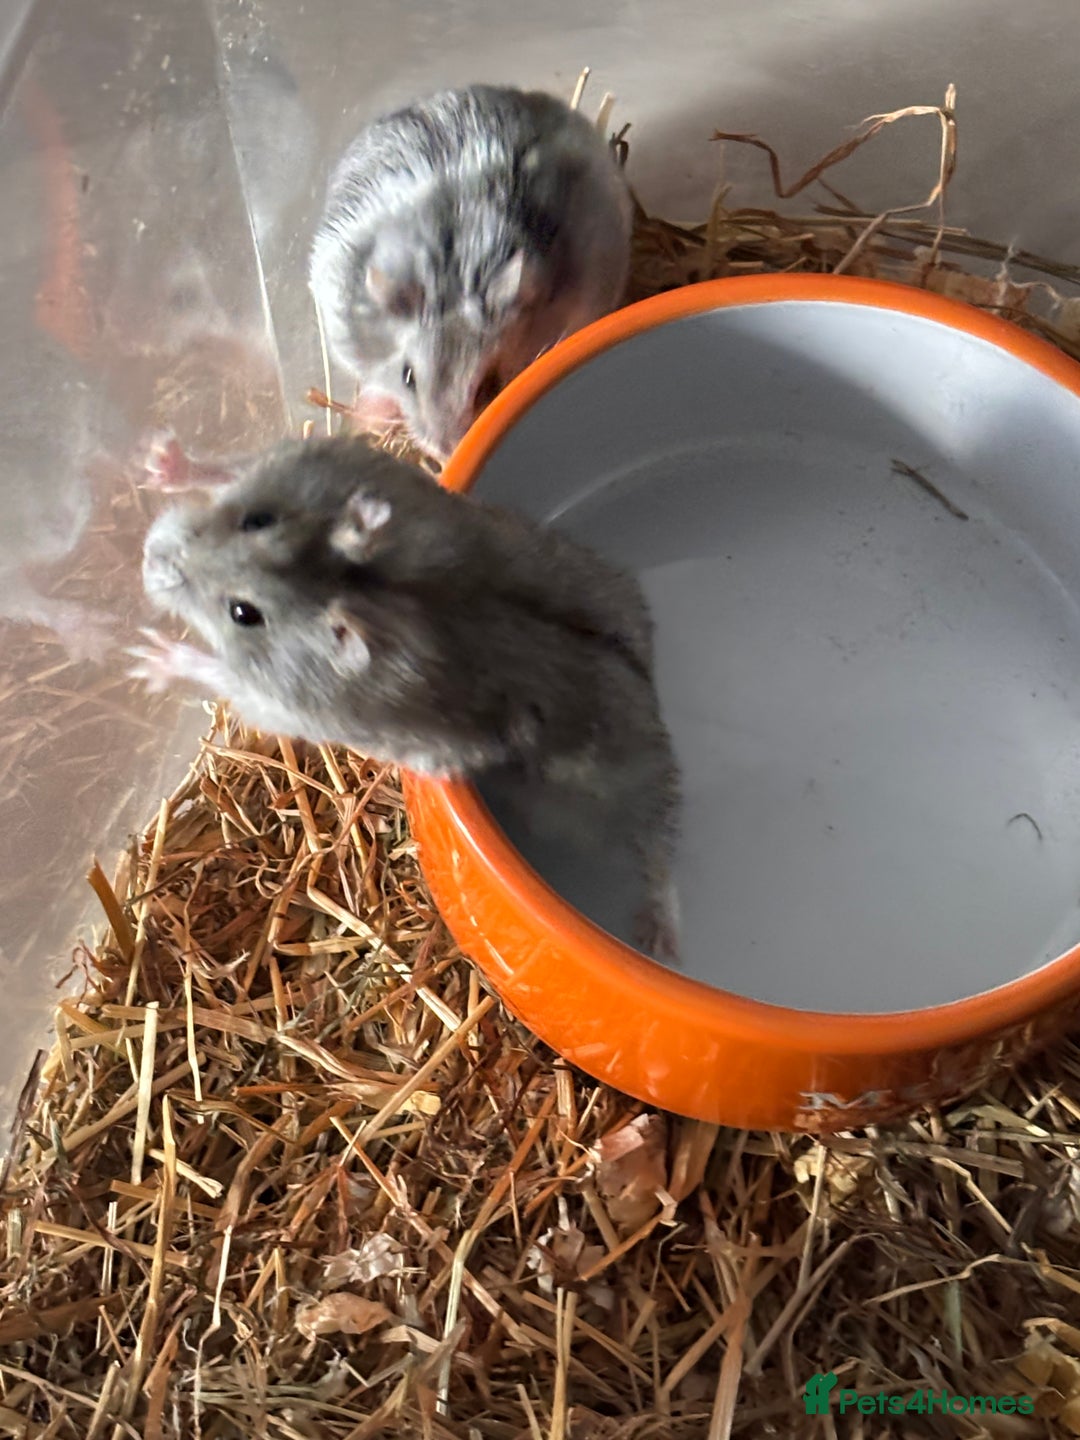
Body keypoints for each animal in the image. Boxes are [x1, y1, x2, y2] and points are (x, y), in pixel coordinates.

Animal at [133, 434, 679, 963]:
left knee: (659, 846)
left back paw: (658, 938)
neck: (368, 584)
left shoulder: (280, 701)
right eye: (257, 518)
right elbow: (234, 467)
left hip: (624, 794)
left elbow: (222, 674)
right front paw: (162, 460)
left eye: (243, 613)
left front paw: (150, 659)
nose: (149, 556)